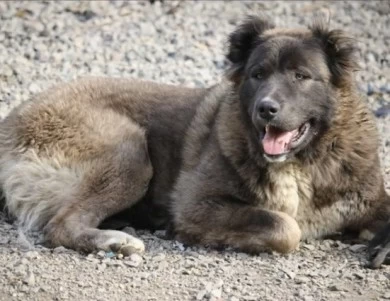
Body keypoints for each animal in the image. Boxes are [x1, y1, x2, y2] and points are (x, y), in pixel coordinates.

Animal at [0, 15, 390, 266]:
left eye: (301, 76)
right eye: (257, 74)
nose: (266, 109)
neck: (303, 160)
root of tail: (11, 122)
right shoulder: (196, 205)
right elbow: (285, 226)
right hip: (129, 151)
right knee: (60, 225)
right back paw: (115, 241)